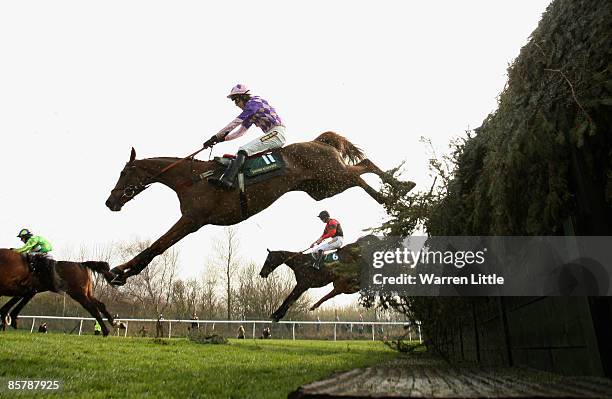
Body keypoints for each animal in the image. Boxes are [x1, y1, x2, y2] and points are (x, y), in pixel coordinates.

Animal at [106, 133, 416, 286]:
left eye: (123, 173)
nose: (110, 202)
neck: (192, 178)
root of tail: (319, 141)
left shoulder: (192, 219)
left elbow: (157, 246)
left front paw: (119, 272)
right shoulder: (192, 221)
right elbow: (158, 246)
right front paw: (122, 272)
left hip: (332, 177)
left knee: (361, 170)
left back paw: (397, 191)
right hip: (322, 188)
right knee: (361, 171)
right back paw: (396, 191)